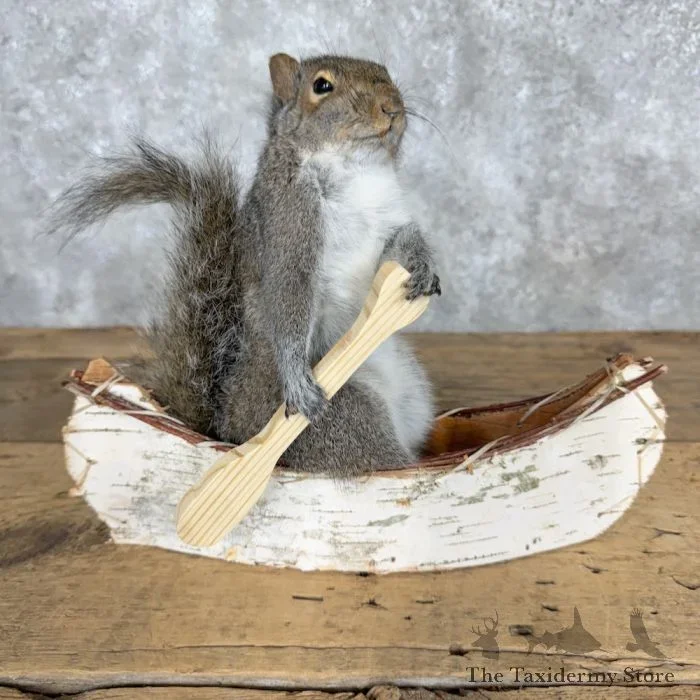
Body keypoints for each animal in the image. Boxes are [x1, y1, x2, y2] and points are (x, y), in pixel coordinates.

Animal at [50, 53, 442, 476]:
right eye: (322, 86)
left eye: (386, 74)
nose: (392, 107)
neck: (356, 169)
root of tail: (228, 426)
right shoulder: (288, 224)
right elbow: (289, 296)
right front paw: (296, 379)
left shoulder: (390, 217)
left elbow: (404, 239)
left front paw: (422, 266)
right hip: (347, 419)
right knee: (382, 460)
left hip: (413, 391)